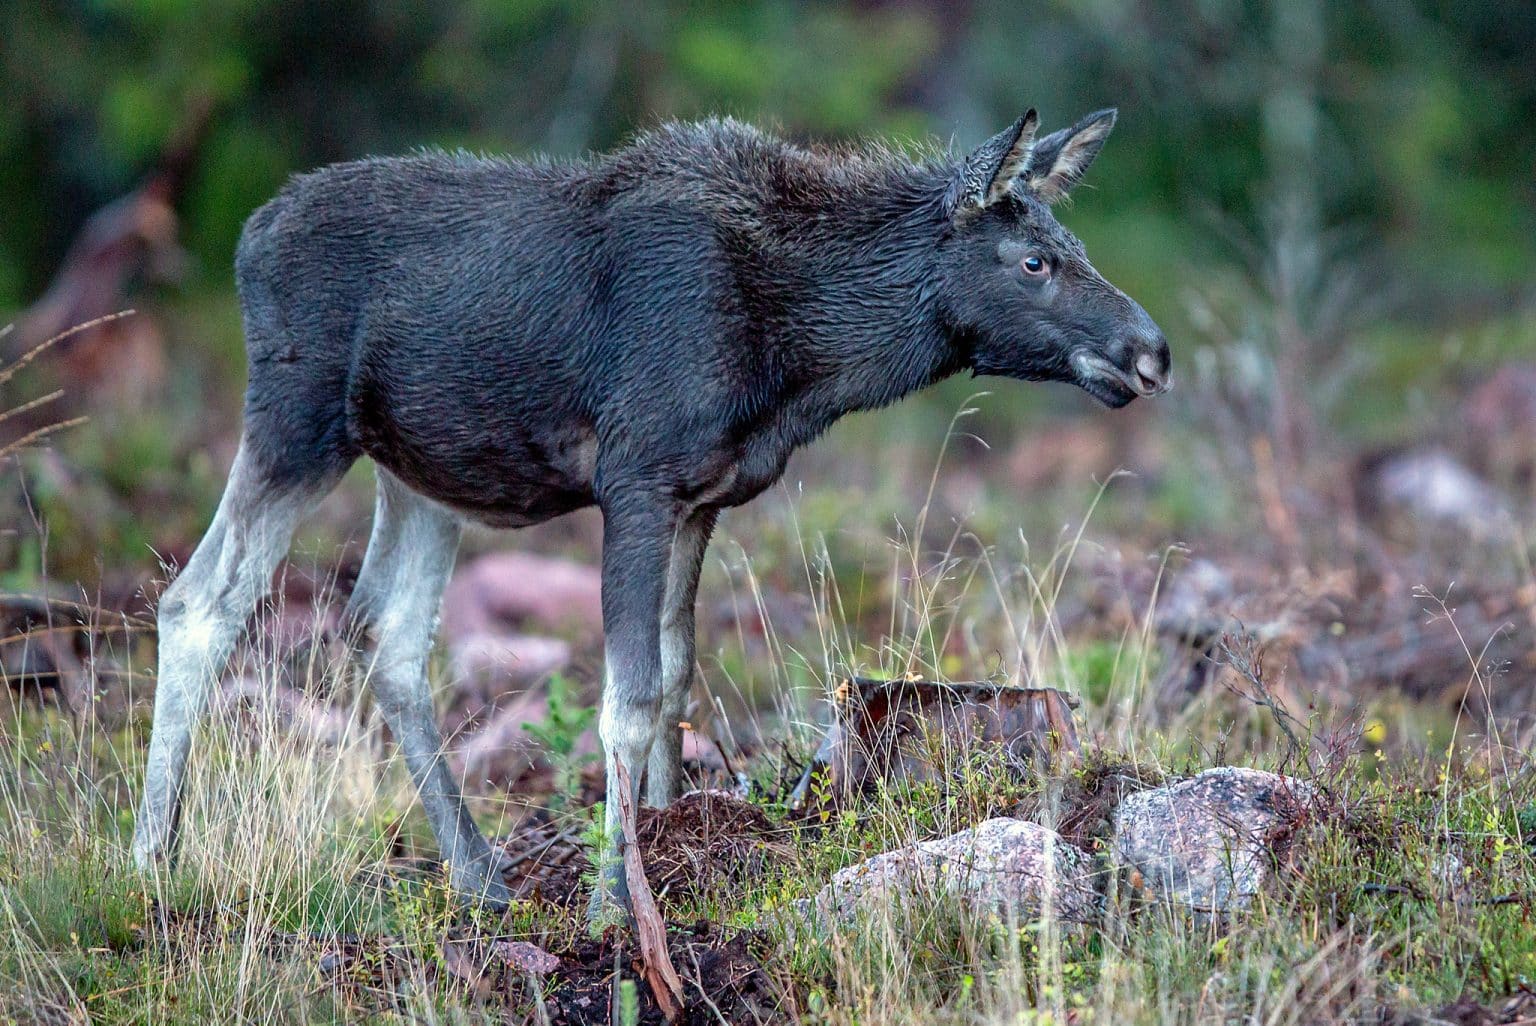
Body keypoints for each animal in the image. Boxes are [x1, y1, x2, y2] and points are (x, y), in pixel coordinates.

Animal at [132, 108, 1167, 915]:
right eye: (1033, 261)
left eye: (1073, 249)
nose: (1151, 350)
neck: (807, 353)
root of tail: (248, 240)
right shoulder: (635, 479)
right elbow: (625, 704)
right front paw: (610, 906)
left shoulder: (700, 498)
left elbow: (675, 679)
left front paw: (668, 845)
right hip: (295, 421)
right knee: (199, 602)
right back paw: (151, 859)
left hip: (419, 474)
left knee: (383, 634)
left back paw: (479, 876)